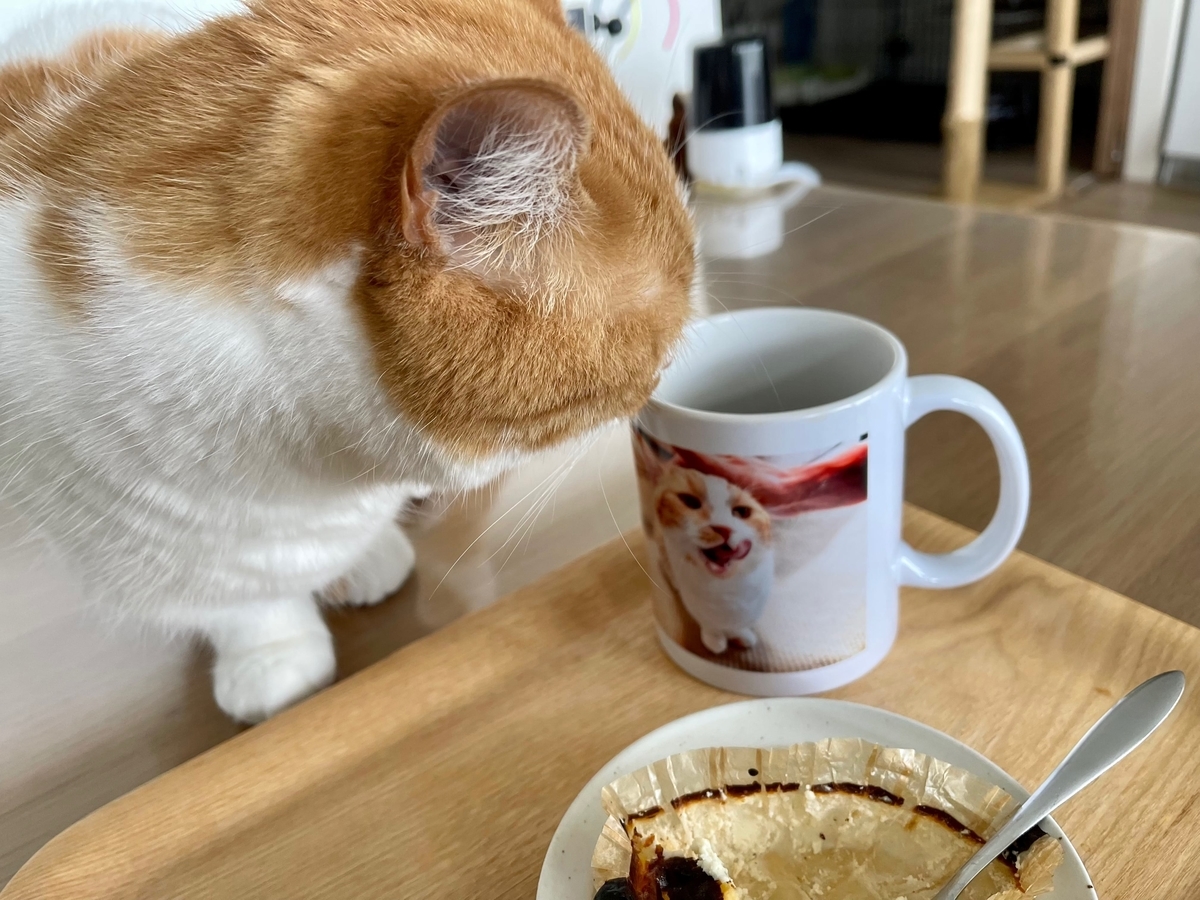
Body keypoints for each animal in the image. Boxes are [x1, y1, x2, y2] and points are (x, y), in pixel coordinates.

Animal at [0, 0, 696, 720]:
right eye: (659, 350)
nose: (668, 378)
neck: (318, 466)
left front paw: (364, 559)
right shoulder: (133, 526)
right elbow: (240, 599)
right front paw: (274, 656)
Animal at [652, 465, 772, 657]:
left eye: (741, 512)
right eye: (690, 501)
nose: (724, 529)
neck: (726, 586)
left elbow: (738, 625)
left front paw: (741, 635)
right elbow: (710, 623)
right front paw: (715, 640)